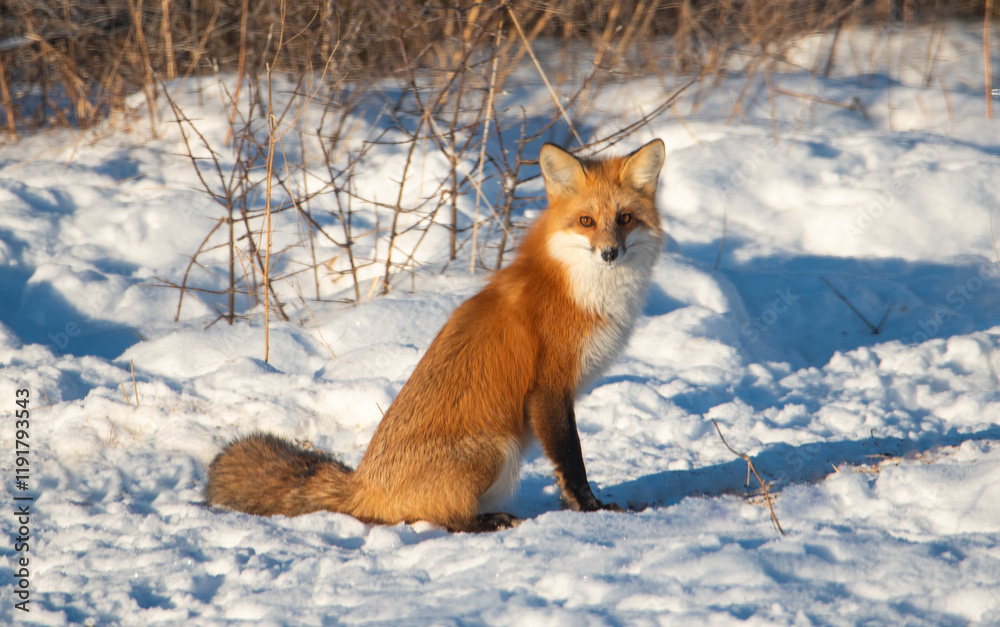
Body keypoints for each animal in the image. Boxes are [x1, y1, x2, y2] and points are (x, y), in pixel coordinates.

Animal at [206, 139, 666, 532]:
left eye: (625, 219)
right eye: (586, 222)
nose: (610, 253)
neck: (578, 287)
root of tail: (362, 484)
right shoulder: (550, 388)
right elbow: (573, 463)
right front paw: (592, 510)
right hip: (496, 449)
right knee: (440, 519)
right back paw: (490, 521)